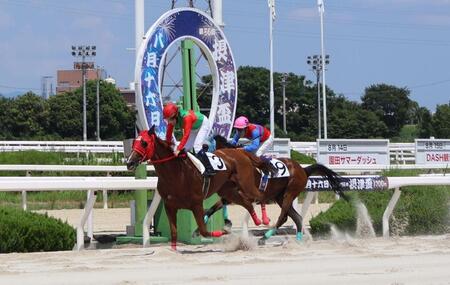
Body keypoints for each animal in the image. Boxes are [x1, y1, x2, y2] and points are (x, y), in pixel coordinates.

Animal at [125, 126, 274, 248]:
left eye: (144, 143)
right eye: (134, 142)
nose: (129, 162)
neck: (176, 173)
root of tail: (241, 153)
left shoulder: (196, 204)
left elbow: (204, 230)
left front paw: (223, 231)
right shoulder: (169, 206)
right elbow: (174, 232)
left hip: (246, 184)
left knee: (260, 196)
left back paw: (265, 220)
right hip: (228, 191)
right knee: (248, 203)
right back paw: (257, 221)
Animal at [204, 135, 348, 244]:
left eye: (207, 145)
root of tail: (304, 170)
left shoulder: (246, 195)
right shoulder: (231, 195)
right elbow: (213, 208)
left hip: (289, 193)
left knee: (283, 217)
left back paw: (264, 238)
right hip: (280, 196)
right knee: (296, 217)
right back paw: (298, 240)